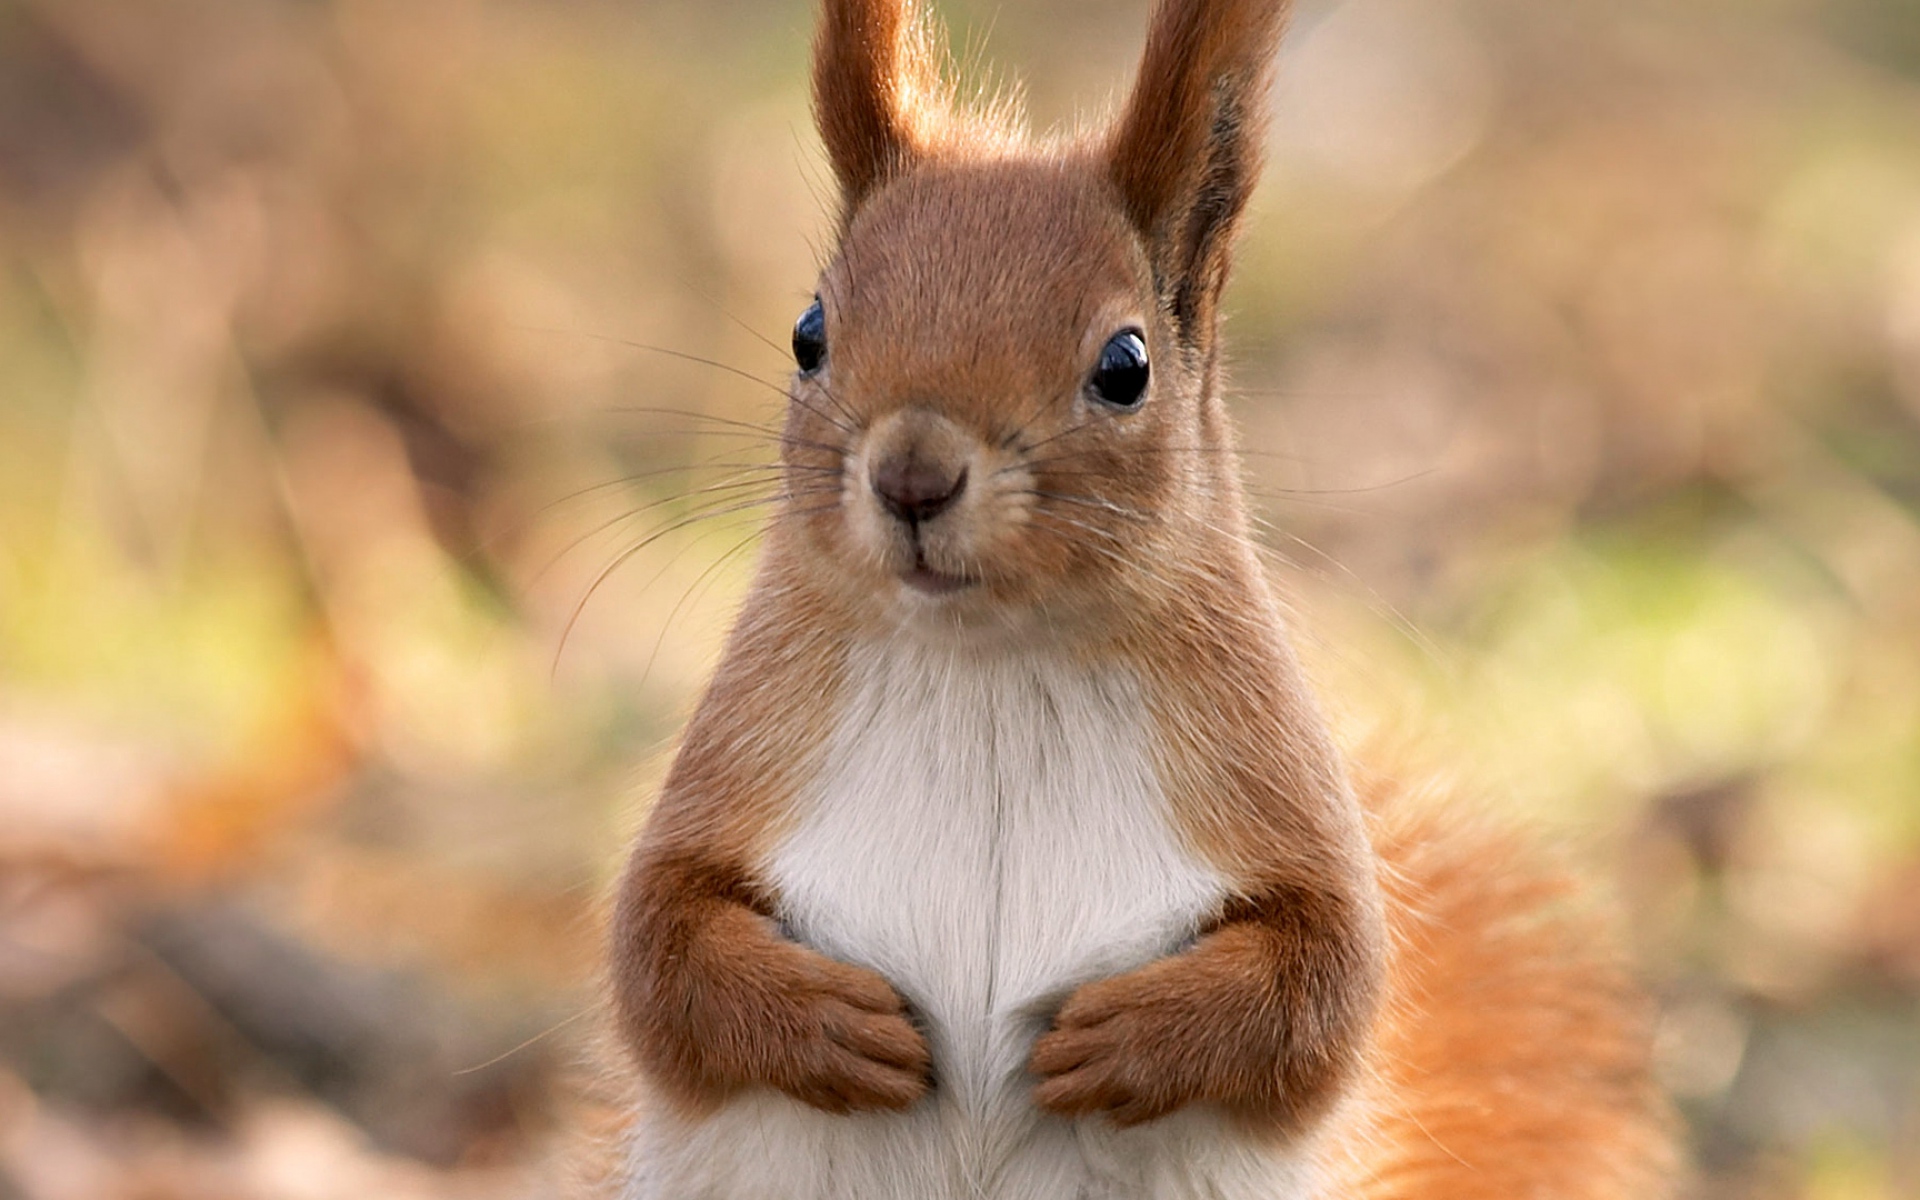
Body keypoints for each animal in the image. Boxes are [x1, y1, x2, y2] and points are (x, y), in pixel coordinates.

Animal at [596, 0, 1679, 1196]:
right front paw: (836, 1024)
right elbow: (656, 949)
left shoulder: (1272, 782)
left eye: (1126, 365)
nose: (913, 476)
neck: (992, 665)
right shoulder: (744, 755)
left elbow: (1328, 979)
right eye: (808, 335)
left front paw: (1123, 1041)